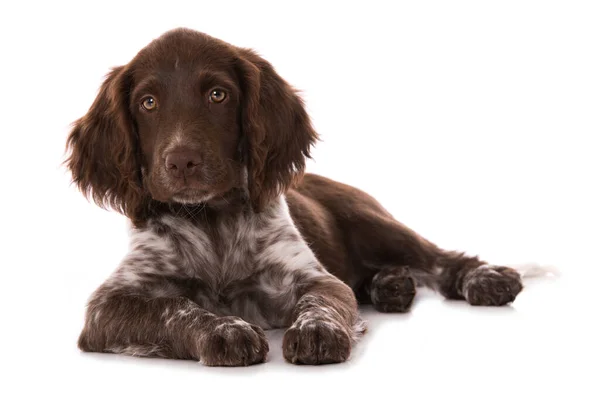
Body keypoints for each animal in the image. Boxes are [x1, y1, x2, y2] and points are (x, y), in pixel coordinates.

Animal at [65, 28, 524, 366]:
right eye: (148, 103)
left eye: (218, 95)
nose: (181, 162)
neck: (212, 220)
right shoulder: (108, 306)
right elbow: (174, 308)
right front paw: (224, 329)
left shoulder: (311, 277)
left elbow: (321, 300)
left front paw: (316, 330)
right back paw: (390, 286)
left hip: (373, 224)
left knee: (441, 259)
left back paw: (486, 279)